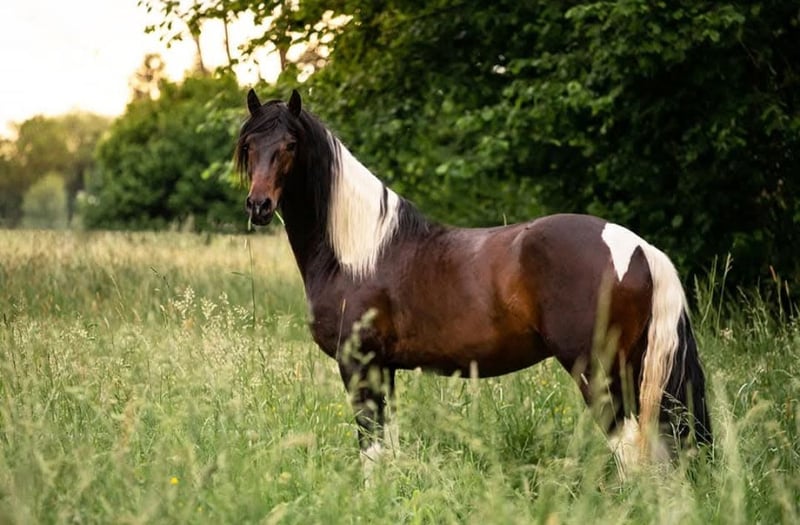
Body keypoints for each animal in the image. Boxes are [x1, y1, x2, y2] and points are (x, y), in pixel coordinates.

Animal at [236, 89, 712, 477]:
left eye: (290, 146)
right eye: (250, 146)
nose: (259, 206)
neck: (357, 252)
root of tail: (639, 248)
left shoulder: (359, 363)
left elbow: (370, 448)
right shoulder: (384, 367)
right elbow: (388, 446)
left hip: (598, 373)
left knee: (631, 450)